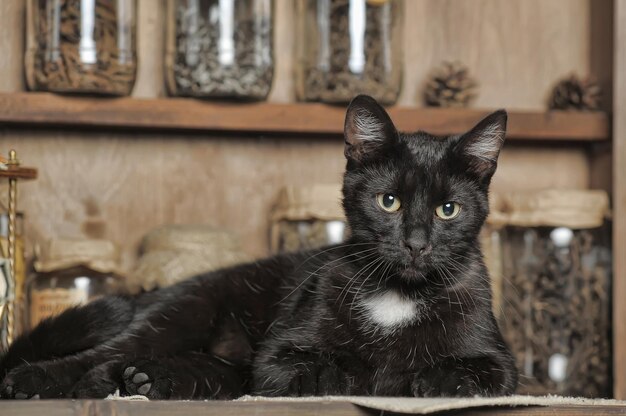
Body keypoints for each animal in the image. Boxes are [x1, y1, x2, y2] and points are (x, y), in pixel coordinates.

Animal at [0, 96, 516, 398]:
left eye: (447, 210)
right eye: (389, 201)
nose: (416, 244)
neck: (399, 296)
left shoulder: (500, 361)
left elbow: (474, 372)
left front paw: (431, 379)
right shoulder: (278, 354)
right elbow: (329, 365)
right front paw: (368, 374)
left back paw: (147, 380)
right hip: (186, 311)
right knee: (98, 356)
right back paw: (36, 381)